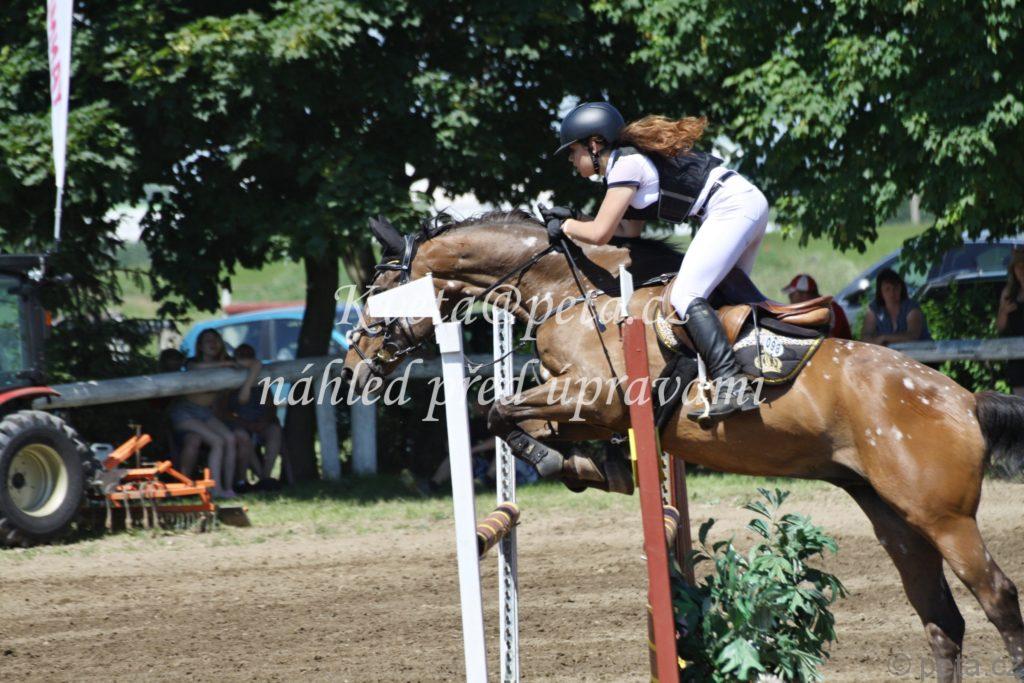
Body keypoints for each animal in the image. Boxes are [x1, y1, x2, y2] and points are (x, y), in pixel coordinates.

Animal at [342, 210, 1024, 682]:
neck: (571, 293)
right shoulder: (581, 405)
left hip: (943, 517)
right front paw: (593, 465)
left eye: (377, 293)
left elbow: (496, 410)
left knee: (997, 598)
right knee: (941, 619)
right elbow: (519, 421)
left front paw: (563, 460)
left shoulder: (597, 396)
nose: (353, 367)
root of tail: (963, 400)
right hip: (894, 516)